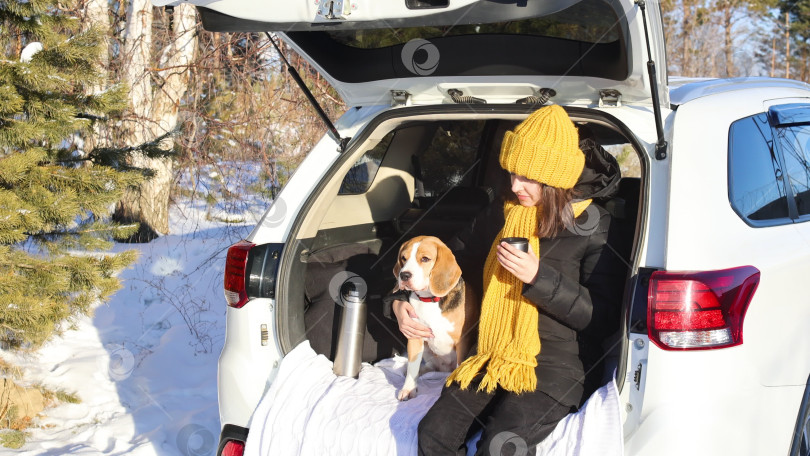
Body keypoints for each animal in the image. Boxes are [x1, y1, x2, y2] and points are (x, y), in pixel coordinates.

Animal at [390, 237, 474, 400]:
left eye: (425, 259)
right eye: (403, 258)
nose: (404, 275)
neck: (430, 300)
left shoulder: (462, 341)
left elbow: (459, 365)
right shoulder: (415, 337)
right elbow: (413, 366)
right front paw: (408, 389)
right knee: (430, 367)